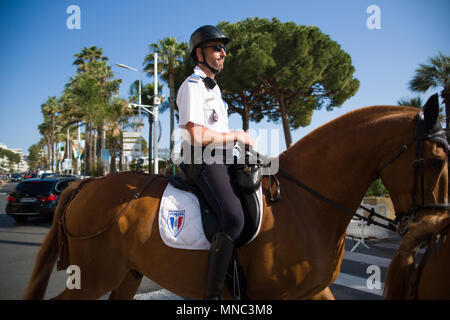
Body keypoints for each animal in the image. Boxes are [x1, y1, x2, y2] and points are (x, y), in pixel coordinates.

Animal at [23, 100, 446, 300]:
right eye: (438, 161)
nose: (433, 228)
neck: (306, 204)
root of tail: (84, 185)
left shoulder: (313, 290)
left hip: (126, 275)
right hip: (92, 278)